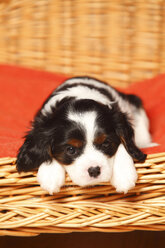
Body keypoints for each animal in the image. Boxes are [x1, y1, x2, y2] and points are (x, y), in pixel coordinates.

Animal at [16, 76, 152, 195]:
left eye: (106, 144)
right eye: (70, 150)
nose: (94, 170)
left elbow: (124, 145)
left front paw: (124, 175)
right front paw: (50, 175)